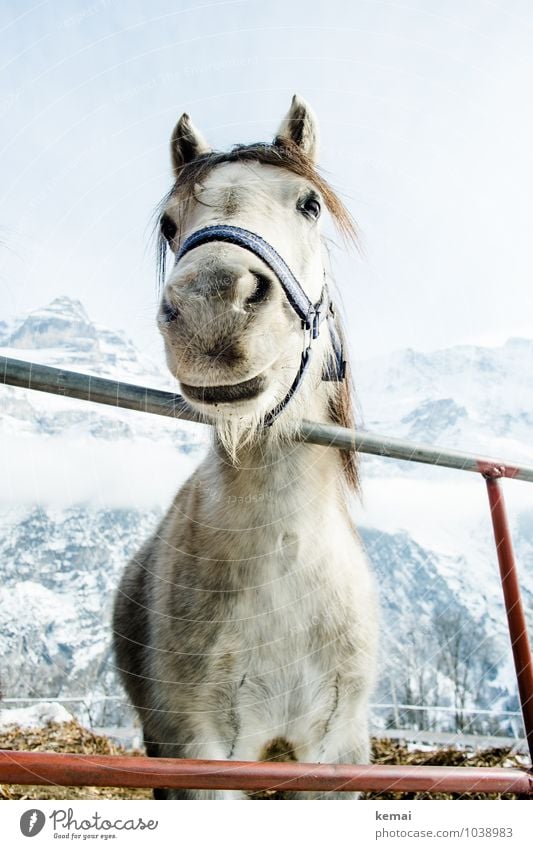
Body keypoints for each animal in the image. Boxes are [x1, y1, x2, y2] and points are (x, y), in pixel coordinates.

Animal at [112, 96, 378, 800]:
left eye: (309, 204)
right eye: (170, 223)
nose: (214, 304)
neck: (284, 559)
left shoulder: (335, 756)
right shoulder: (201, 753)